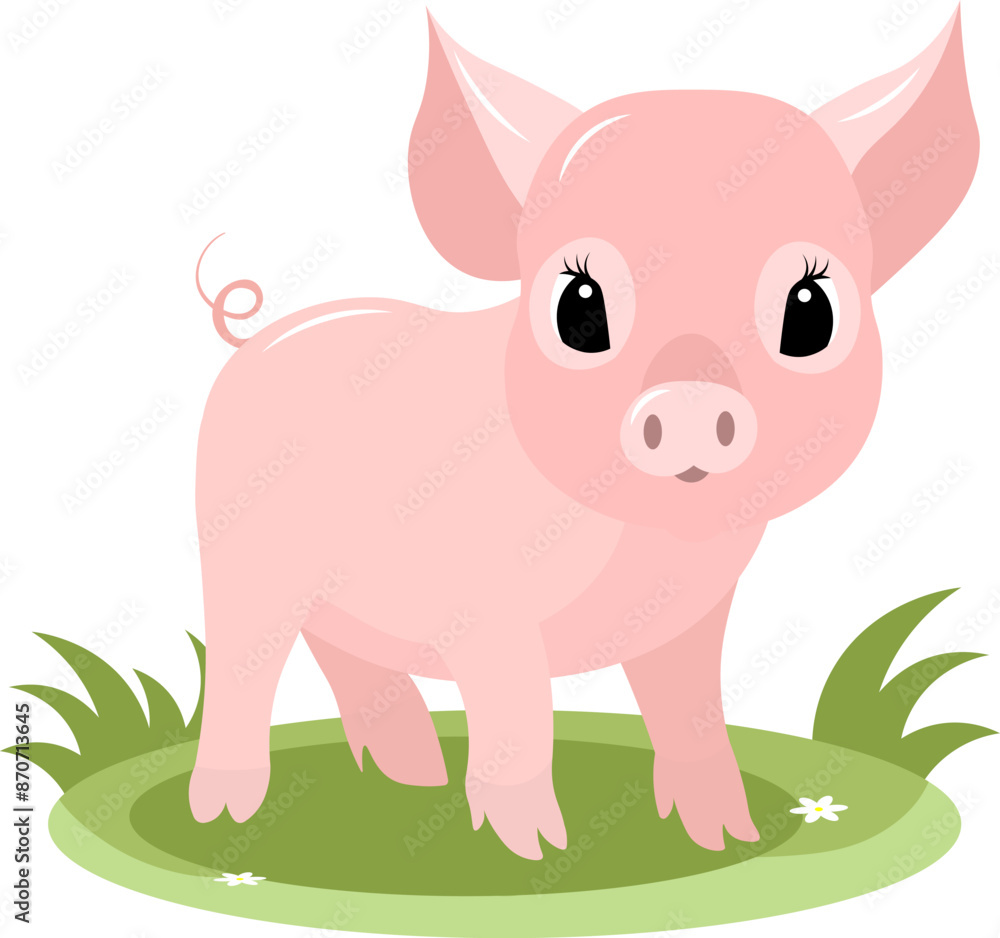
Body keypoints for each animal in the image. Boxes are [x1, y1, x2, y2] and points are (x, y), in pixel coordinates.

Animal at [189, 9, 978, 859]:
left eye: (810, 313)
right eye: (579, 306)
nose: (691, 400)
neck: (644, 547)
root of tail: (257, 341)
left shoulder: (695, 614)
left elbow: (691, 715)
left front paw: (724, 841)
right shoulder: (486, 605)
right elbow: (520, 718)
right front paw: (536, 851)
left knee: (340, 650)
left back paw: (415, 773)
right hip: (240, 554)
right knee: (242, 664)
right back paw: (225, 815)